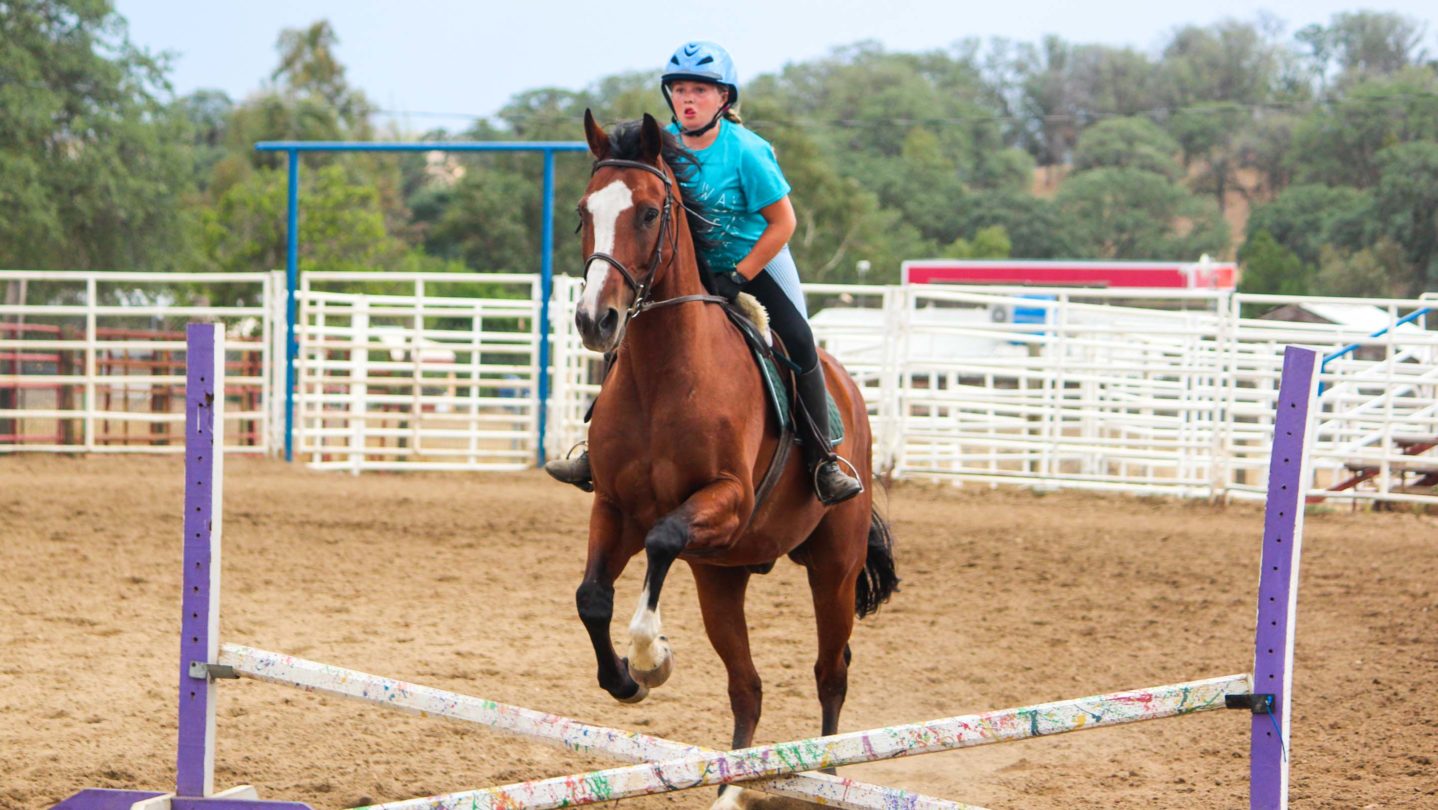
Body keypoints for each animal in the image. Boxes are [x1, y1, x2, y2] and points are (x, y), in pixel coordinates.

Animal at [566, 110, 891, 805]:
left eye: (650, 213)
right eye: (584, 212)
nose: (594, 321)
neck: (664, 374)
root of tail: (847, 384)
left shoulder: (727, 499)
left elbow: (662, 541)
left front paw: (651, 657)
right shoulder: (614, 507)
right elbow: (592, 597)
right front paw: (626, 680)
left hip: (834, 567)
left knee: (831, 670)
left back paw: (826, 774)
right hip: (722, 576)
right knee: (748, 686)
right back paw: (730, 788)